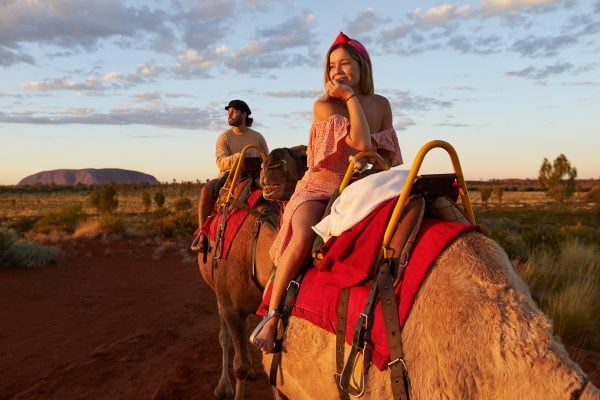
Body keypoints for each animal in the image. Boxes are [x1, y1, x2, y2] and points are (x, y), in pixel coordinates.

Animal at [197, 147, 308, 400]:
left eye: (304, 156)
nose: (273, 163)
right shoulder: (231, 307)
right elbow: (240, 365)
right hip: (217, 293)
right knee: (225, 338)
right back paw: (223, 386)